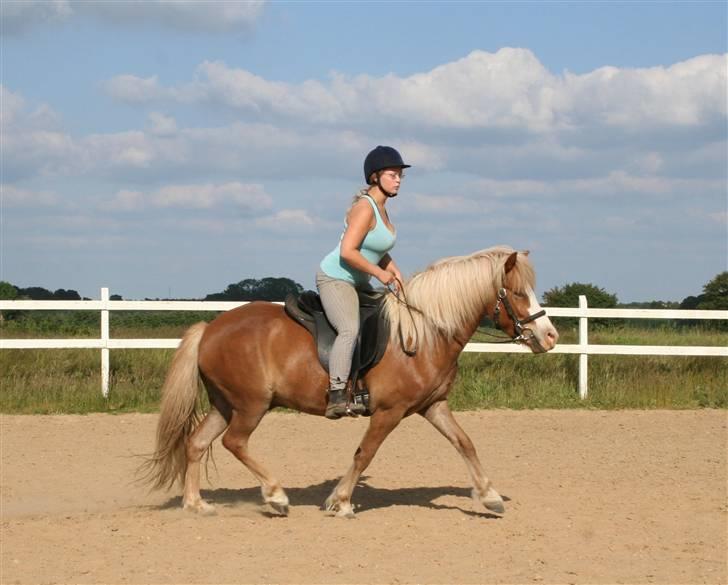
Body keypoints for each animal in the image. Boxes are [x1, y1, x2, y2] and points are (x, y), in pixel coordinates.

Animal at [144, 245, 564, 516]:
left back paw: (197, 503)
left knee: (197, 443)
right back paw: (276, 497)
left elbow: (465, 443)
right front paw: (340, 500)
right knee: (234, 442)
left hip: (225, 403)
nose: (550, 337)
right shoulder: (389, 411)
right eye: (517, 293)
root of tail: (210, 328)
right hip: (250, 406)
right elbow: (365, 453)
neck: (425, 331)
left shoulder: (432, 405)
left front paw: (489, 496)